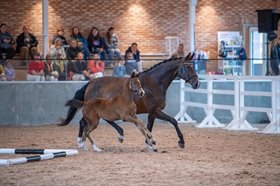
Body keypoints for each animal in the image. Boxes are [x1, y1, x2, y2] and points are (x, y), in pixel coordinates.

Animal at [59, 52, 199, 148]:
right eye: (188, 67)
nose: (197, 84)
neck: (154, 83)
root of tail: (90, 83)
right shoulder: (156, 111)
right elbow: (173, 121)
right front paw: (181, 141)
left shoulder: (152, 112)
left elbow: (149, 126)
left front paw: (149, 142)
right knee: (86, 122)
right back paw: (83, 142)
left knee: (91, 121)